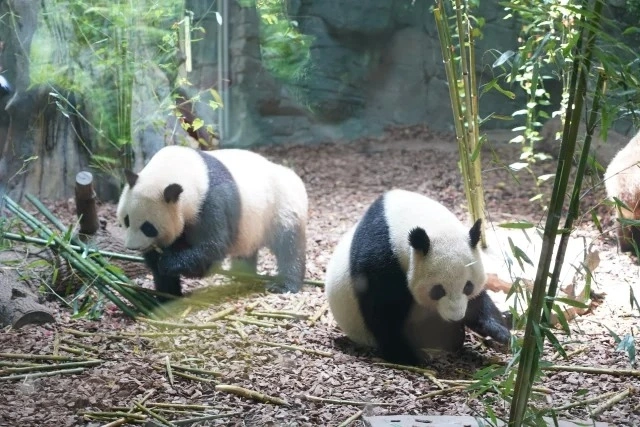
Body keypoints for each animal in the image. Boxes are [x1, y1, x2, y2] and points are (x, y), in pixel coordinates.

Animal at [116, 145, 308, 300]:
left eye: (148, 227)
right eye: (126, 220)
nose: (132, 247)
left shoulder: (213, 201)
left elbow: (212, 247)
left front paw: (169, 262)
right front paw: (166, 295)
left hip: (281, 207)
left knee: (289, 247)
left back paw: (284, 285)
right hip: (251, 225)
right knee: (247, 249)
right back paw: (240, 275)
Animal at [324, 189, 510, 365]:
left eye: (468, 286)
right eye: (437, 290)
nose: (456, 316)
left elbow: (478, 301)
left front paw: (501, 332)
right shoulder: (381, 259)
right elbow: (383, 312)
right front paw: (409, 356)